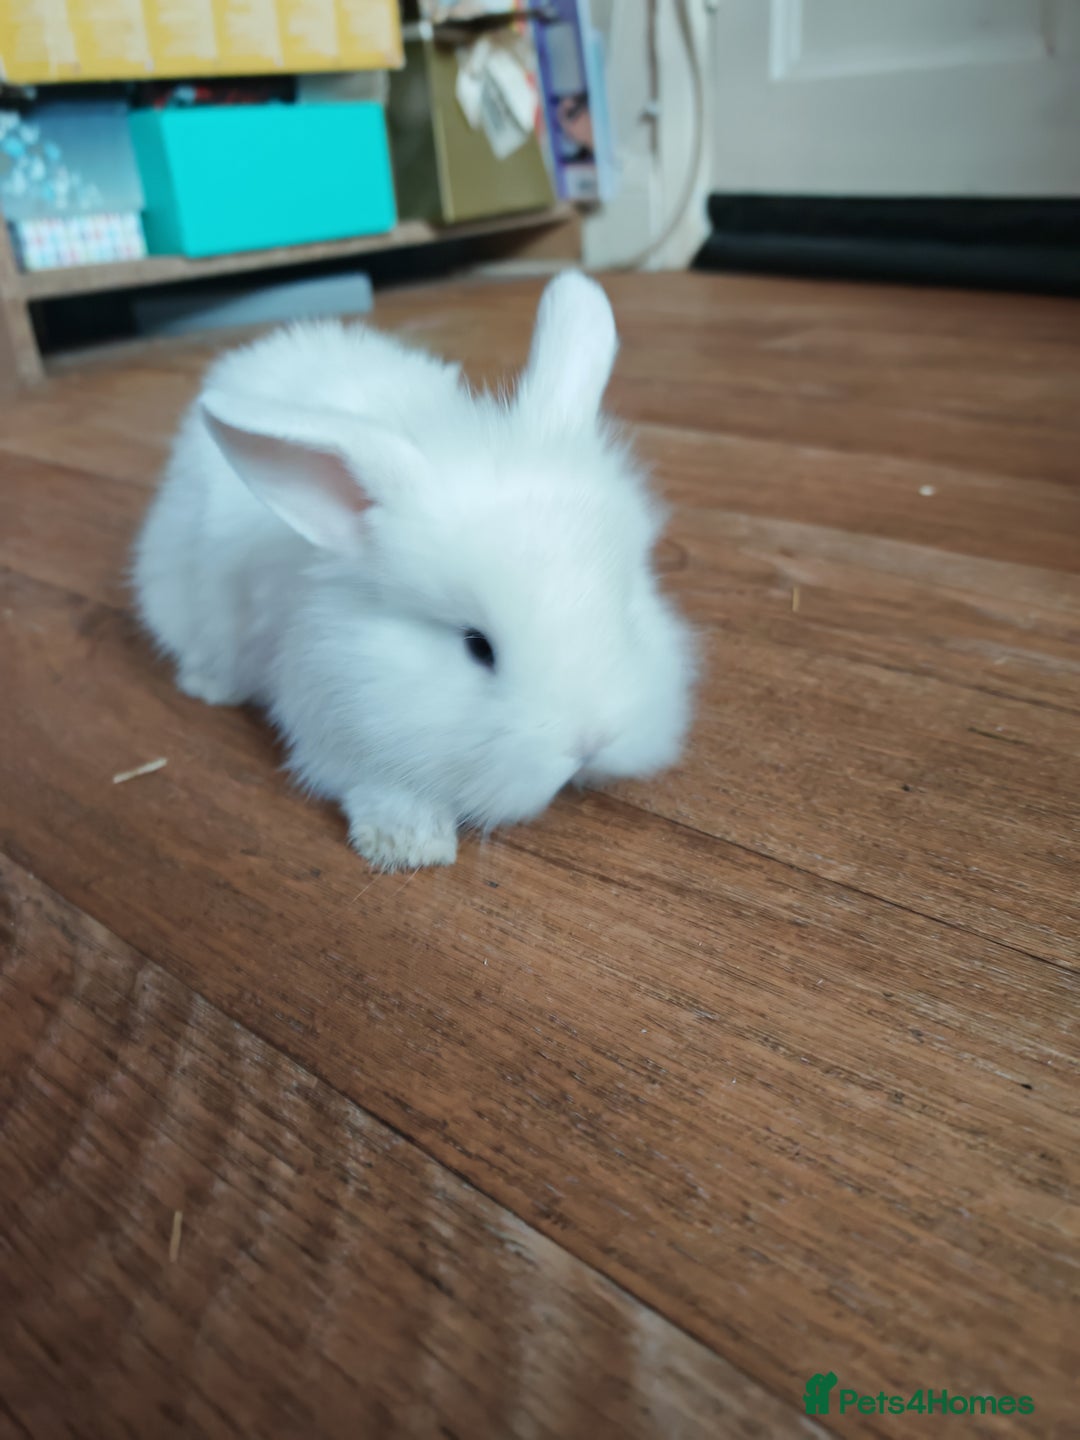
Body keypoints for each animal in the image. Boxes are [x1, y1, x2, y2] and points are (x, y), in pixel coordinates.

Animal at [132, 272, 696, 870]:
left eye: (627, 610)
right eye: (477, 647)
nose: (591, 743)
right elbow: (374, 786)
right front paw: (411, 842)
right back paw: (208, 685)